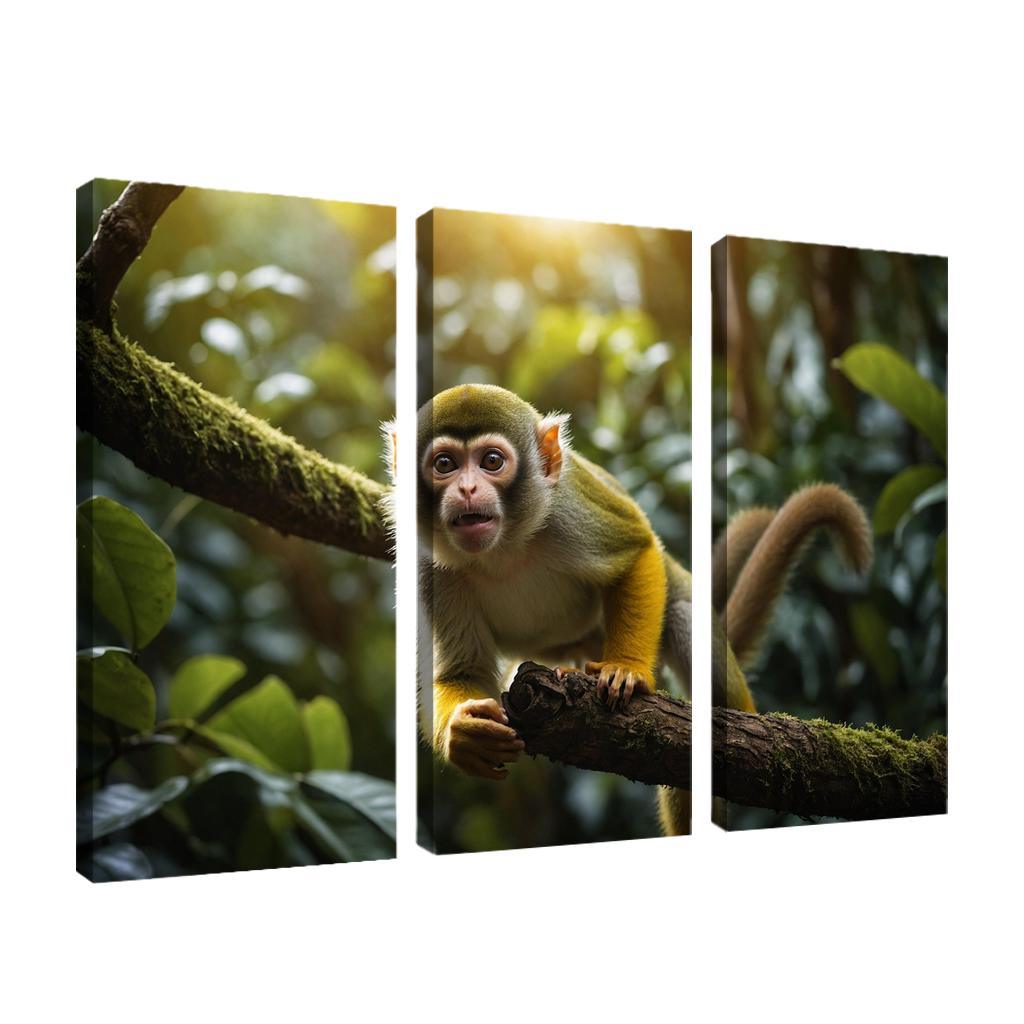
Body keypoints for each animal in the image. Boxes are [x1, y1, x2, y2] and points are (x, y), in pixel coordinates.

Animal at [416, 383, 872, 837]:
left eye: (492, 462)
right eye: (445, 465)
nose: (467, 490)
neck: (504, 550)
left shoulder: (566, 510)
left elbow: (636, 551)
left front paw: (627, 669)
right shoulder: (429, 563)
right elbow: (464, 672)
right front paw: (465, 734)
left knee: (684, 617)